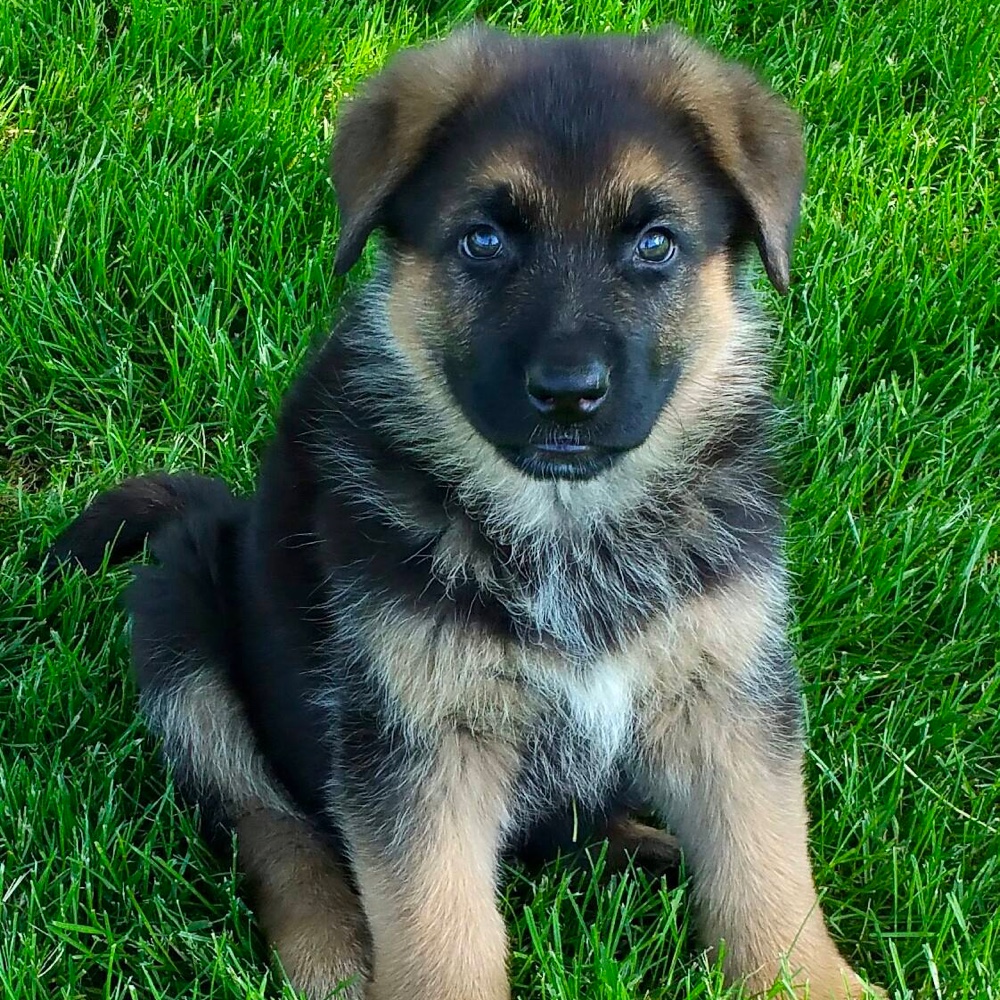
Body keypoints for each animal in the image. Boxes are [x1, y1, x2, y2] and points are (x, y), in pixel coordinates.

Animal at [52, 21, 884, 1000]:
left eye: (656, 244)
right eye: (484, 240)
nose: (569, 395)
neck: (565, 523)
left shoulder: (728, 693)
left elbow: (765, 866)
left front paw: (806, 980)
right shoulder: (415, 738)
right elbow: (439, 925)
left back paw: (640, 848)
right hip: (180, 628)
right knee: (269, 820)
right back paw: (329, 948)